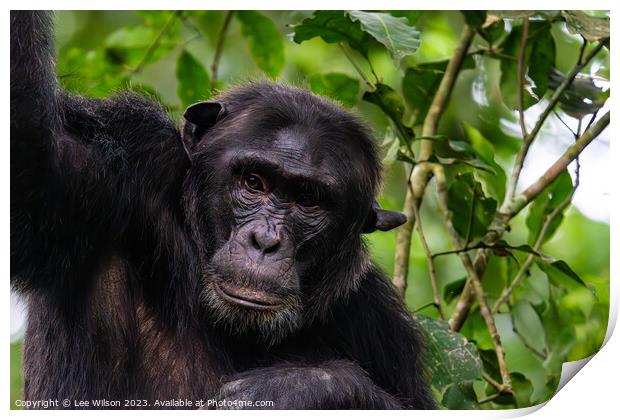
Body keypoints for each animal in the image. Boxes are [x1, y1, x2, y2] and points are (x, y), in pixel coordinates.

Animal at [10, 10, 436, 410]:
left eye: (307, 199)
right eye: (253, 182)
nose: (265, 241)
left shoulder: (379, 321)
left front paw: (300, 388)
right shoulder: (125, 157)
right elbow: (34, 166)